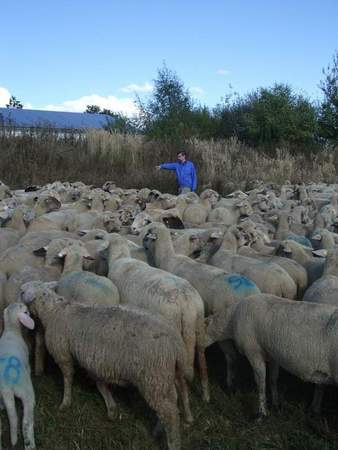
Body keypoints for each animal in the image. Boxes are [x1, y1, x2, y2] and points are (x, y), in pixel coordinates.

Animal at [20, 282, 193, 450]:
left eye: (24, 291)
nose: (20, 290)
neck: (54, 311)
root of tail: (175, 342)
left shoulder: (63, 353)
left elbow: (68, 378)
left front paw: (65, 403)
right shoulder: (95, 362)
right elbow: (100, 384)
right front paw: (111, 409)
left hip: (154, 378)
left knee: (170, 413)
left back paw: (172, 442)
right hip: (172, 372)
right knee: (181, 392)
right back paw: (181, 420)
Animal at [205, 296, 338, 418]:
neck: (230, 321)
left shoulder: (254, 352)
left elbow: (260, 382)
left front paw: (262, 413)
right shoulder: (272, 354)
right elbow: (273, 379)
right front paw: (275, 404)